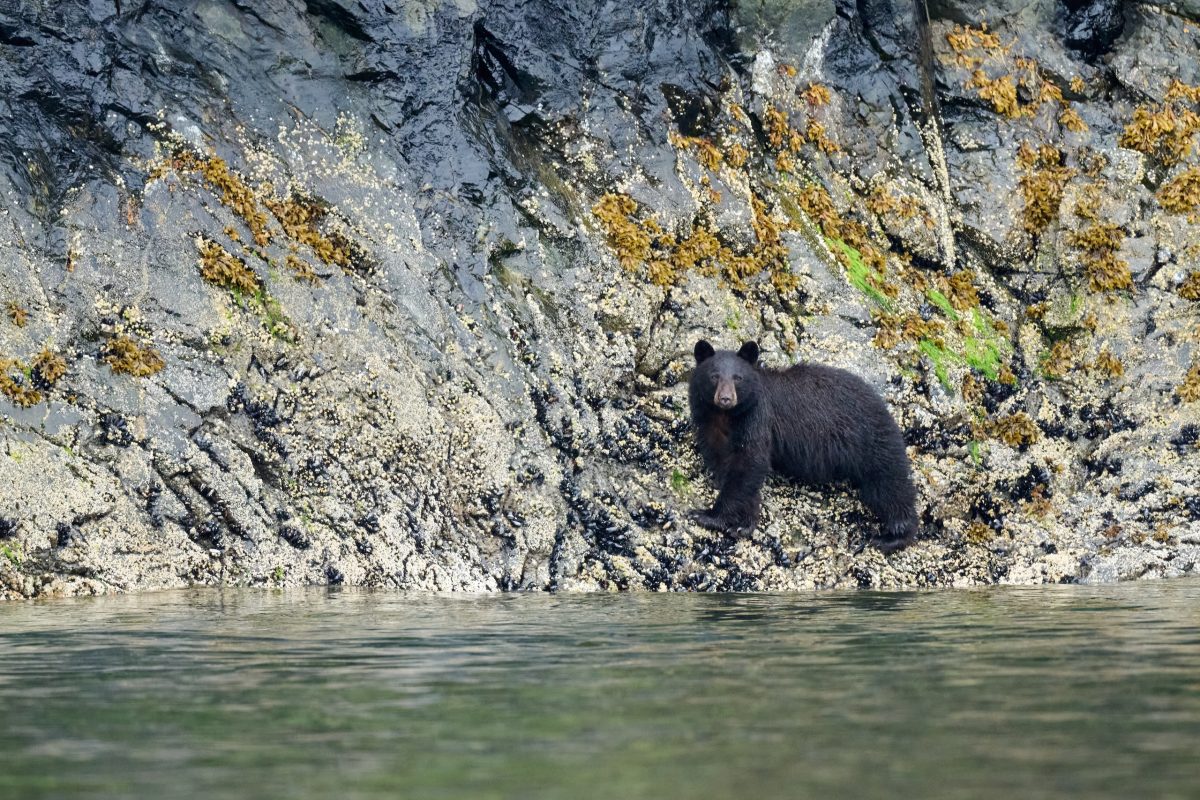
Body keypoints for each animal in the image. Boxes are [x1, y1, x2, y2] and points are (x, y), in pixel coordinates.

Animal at [688, 339, 918, 552]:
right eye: (714, 376)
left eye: (738, 377)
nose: (726, 398)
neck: (726, 417)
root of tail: (883, 405)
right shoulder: (711, 426)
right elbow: (727, 465)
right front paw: (744, 522)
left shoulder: (757, 418)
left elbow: (750, 463)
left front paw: (709, 515)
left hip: (872, 441)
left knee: (889, 485)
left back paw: (894, 536)